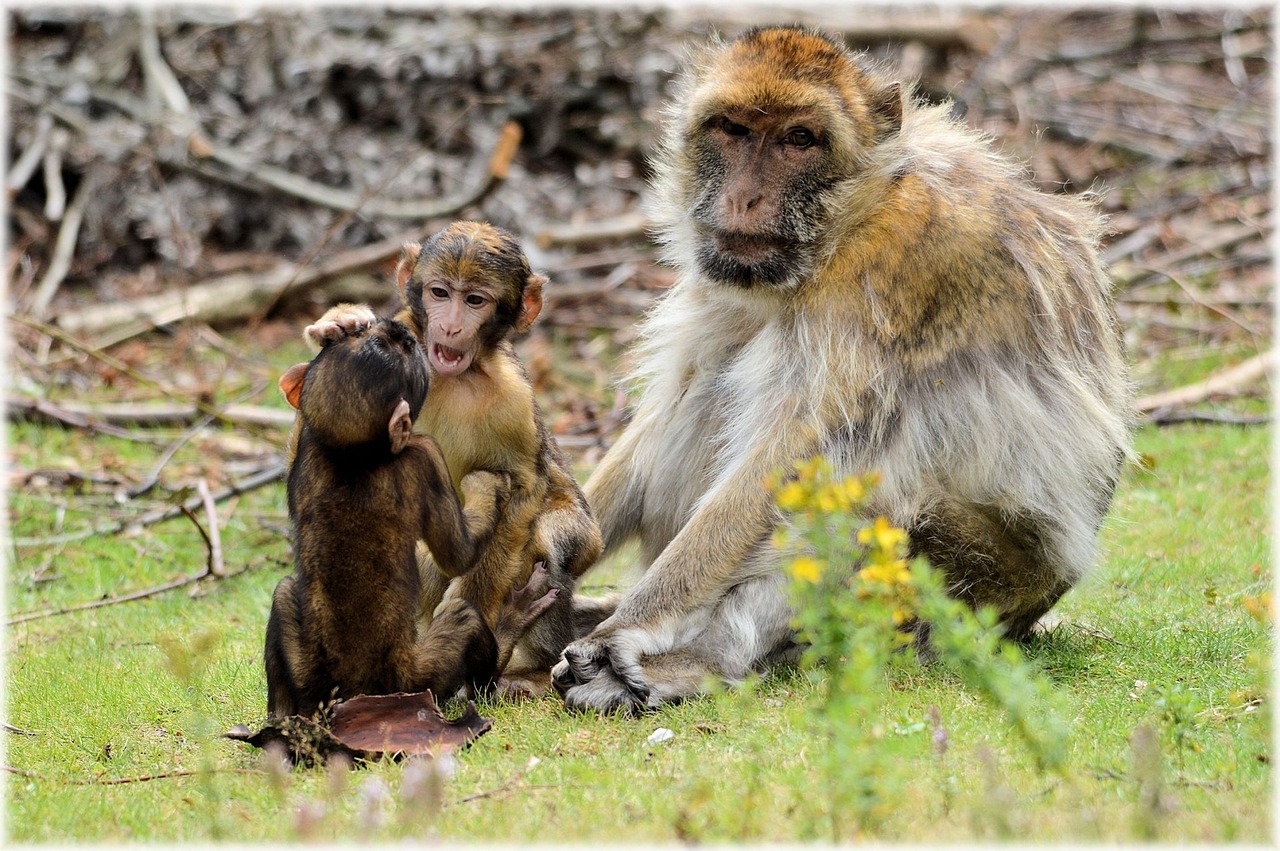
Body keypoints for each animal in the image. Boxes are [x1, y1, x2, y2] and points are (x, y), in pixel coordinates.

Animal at [263, 313, 555, 716]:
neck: (354, 454)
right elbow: (457, 554)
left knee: (285, 592)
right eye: (403, 351)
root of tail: (349, 694)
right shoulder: (424, 455)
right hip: (412, 679)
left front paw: (335, 325)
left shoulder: (311, 451)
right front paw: (484, 484)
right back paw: (502, 650)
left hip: (311, 680)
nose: (400, 330)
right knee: (463, 620)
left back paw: (280, 715)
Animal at [302, 222, 601, 696]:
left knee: (548, 537)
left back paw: (520, 667)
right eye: (440, 293)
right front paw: (339, 322)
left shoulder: (513, 398)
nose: (452, 325)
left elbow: (522, 492)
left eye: (475, 300)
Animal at [555, 24, 1136, 711]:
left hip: (985, 591)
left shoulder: (886, 270)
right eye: (732, 129)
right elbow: (677, 400)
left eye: (799, 139)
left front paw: (627, 628)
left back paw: (703, 660)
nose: (743, 198)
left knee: (881, 486)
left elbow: (797, 456)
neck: (855, 213)